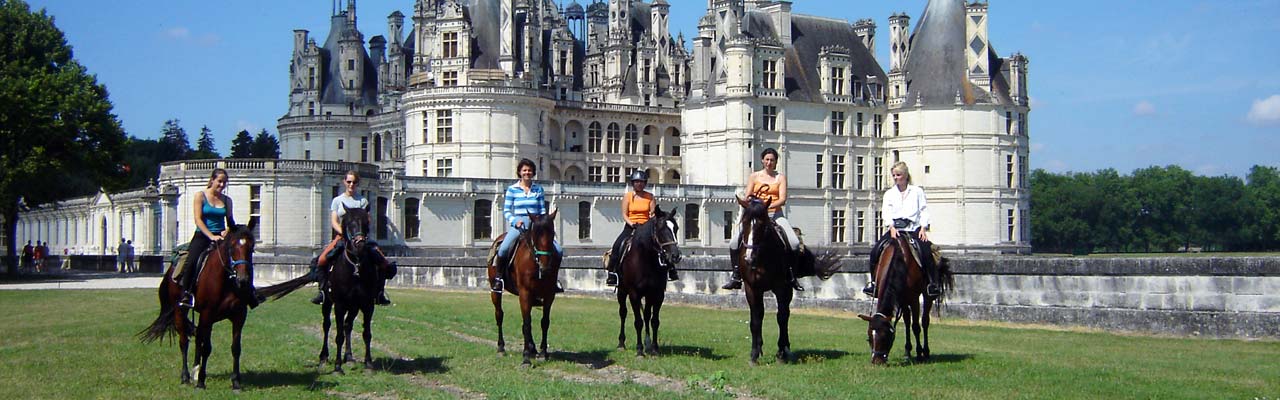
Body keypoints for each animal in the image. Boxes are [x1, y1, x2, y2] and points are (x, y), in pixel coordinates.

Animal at [139, 220, 257, 389]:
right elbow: (206, 348)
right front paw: (201, 381)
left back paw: (195, 370)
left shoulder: (239, 315)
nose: (243, 280)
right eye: (232, 247)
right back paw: (186, 376)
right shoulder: (208, 314)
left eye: (252, 247)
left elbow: (235, 348)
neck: (226, 280)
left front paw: (236, 381)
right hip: (180, 311)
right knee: (184, 342)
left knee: (198, 338)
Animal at [483, 212, 560, 366]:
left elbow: (544, 322)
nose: (545, 267)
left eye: (552, 233)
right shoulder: (525, 293)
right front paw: (526, 358)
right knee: (499, 315)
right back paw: (501, 347)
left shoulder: (549, 295)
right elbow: (527, 324)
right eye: (535, 234)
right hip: (496, 292)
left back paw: (533, 348)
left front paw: (543, 352)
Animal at [616, 206, 686, 356]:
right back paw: (621, 343)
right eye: (660, 228)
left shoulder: (657, 293)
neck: (646, 260)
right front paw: (639, 350)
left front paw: (654, 349)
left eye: (676, 228)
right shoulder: (634, 294)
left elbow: (654, 321)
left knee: (647, 315)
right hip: (621, 291)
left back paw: (647, 343)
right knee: (623, 313)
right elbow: (638, 321)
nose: (675, 256)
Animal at [737, 197, 844, 366]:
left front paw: (781, 353)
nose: (749, 258)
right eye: (745, 223)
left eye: (762, 225)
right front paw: (754, 354)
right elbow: (756, 320)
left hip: (788, 289)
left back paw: (785, 349)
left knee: (785, 315)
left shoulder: (782, 287)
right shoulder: (752, 289)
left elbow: (781, 318)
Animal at [860, 234, 952, 366]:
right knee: (908, 321)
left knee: (925, 321)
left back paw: (925, 352)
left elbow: (916, 326)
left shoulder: (914, 299)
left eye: (885, 336)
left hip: (927, 295)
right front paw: (909, 352)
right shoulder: (902, 298)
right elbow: (908, 322)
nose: (877, 361)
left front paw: (919, 353)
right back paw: (908, 351)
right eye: (869, 337)